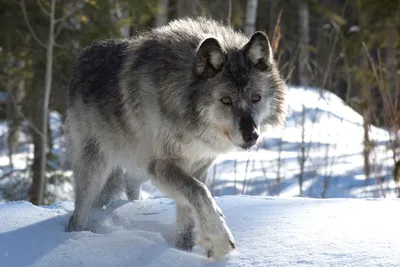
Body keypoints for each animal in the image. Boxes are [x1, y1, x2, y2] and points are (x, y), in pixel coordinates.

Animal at [65, 17, 284, 260]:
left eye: (256, 98)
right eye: (226, 100)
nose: (251, 135)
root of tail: (82, 57)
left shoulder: (198, 167)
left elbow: (188, 210)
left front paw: (182, 250)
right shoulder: (162, 166)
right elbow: (200, 192)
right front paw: (219, 240)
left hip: (138, 168)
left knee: (128, 185)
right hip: (96, 169)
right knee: (79, 213)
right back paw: (76, 237)